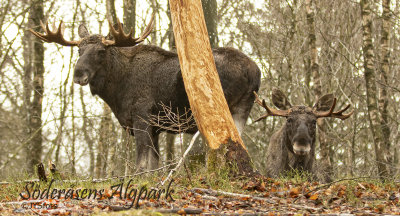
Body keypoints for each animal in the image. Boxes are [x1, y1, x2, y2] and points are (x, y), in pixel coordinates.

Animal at [31, 16, 262, 171]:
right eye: (79, 50)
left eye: (101, 51)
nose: (79, 75)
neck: (116, 92)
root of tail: (255, 71)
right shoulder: (156, 128)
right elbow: (153, 165)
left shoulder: (141, 118)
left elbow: (141, 165)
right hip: (243, 107)